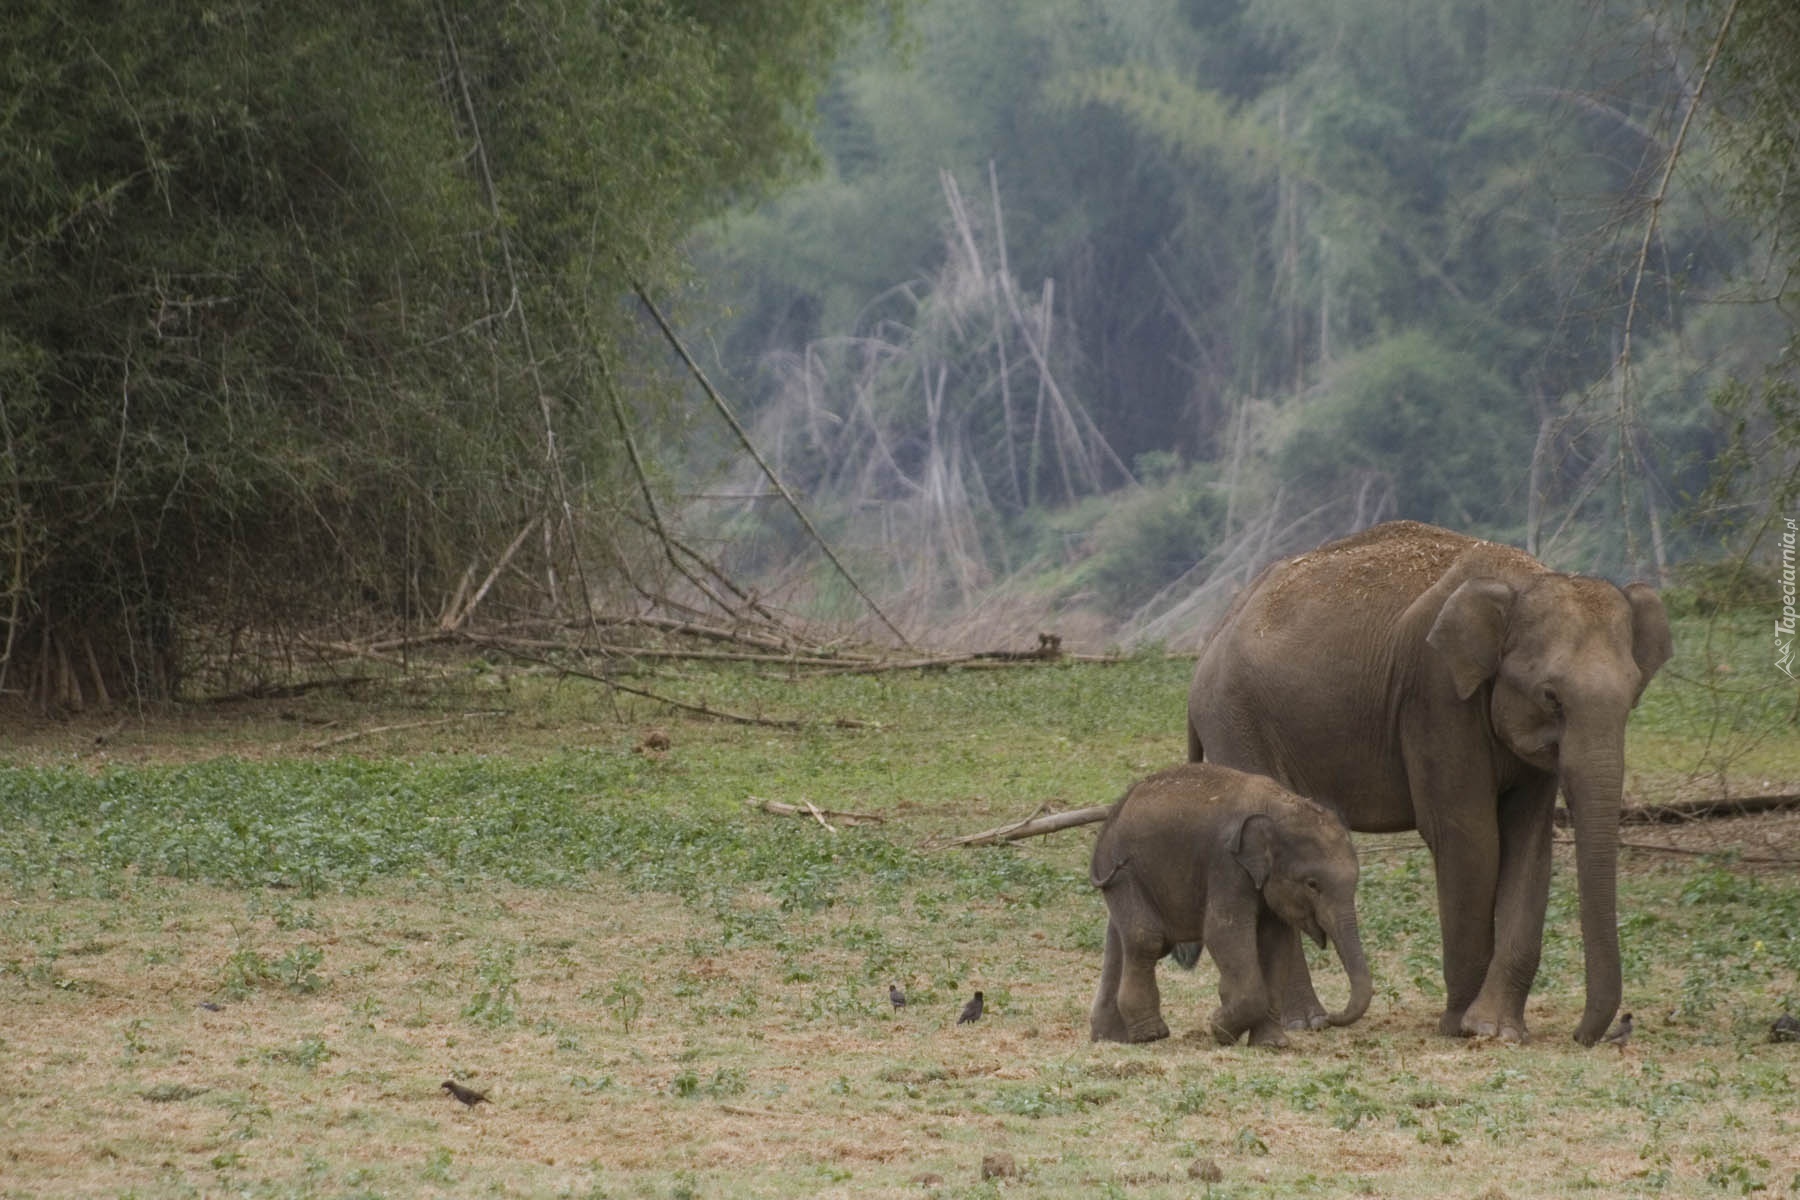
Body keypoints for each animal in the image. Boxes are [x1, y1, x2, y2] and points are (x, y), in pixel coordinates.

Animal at [1087, 766, 1368, 1043]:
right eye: (1312, 884)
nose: (1330, 1018)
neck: (1279, 807)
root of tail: (1114, 811)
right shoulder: (1227, 865)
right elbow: (1222, 933)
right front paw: (1220, 1029)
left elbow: (1277, 943)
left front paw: (1271, 1044)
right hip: (1123, 871)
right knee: (1147, 939)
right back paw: (1151, 1034)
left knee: (1121, 940)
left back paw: (1110, 1038)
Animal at [1180, 521, 1670, 1043]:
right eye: (1551, 697)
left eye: (1633, 696)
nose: (1586, 1035)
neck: (1520, 581)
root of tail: (1214, 634)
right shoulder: (1435, 694)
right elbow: (1470, 836)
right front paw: (1463, 1027)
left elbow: (1529, 843)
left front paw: (1500, 1031)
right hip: (1235, 721)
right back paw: (1306, 1022)